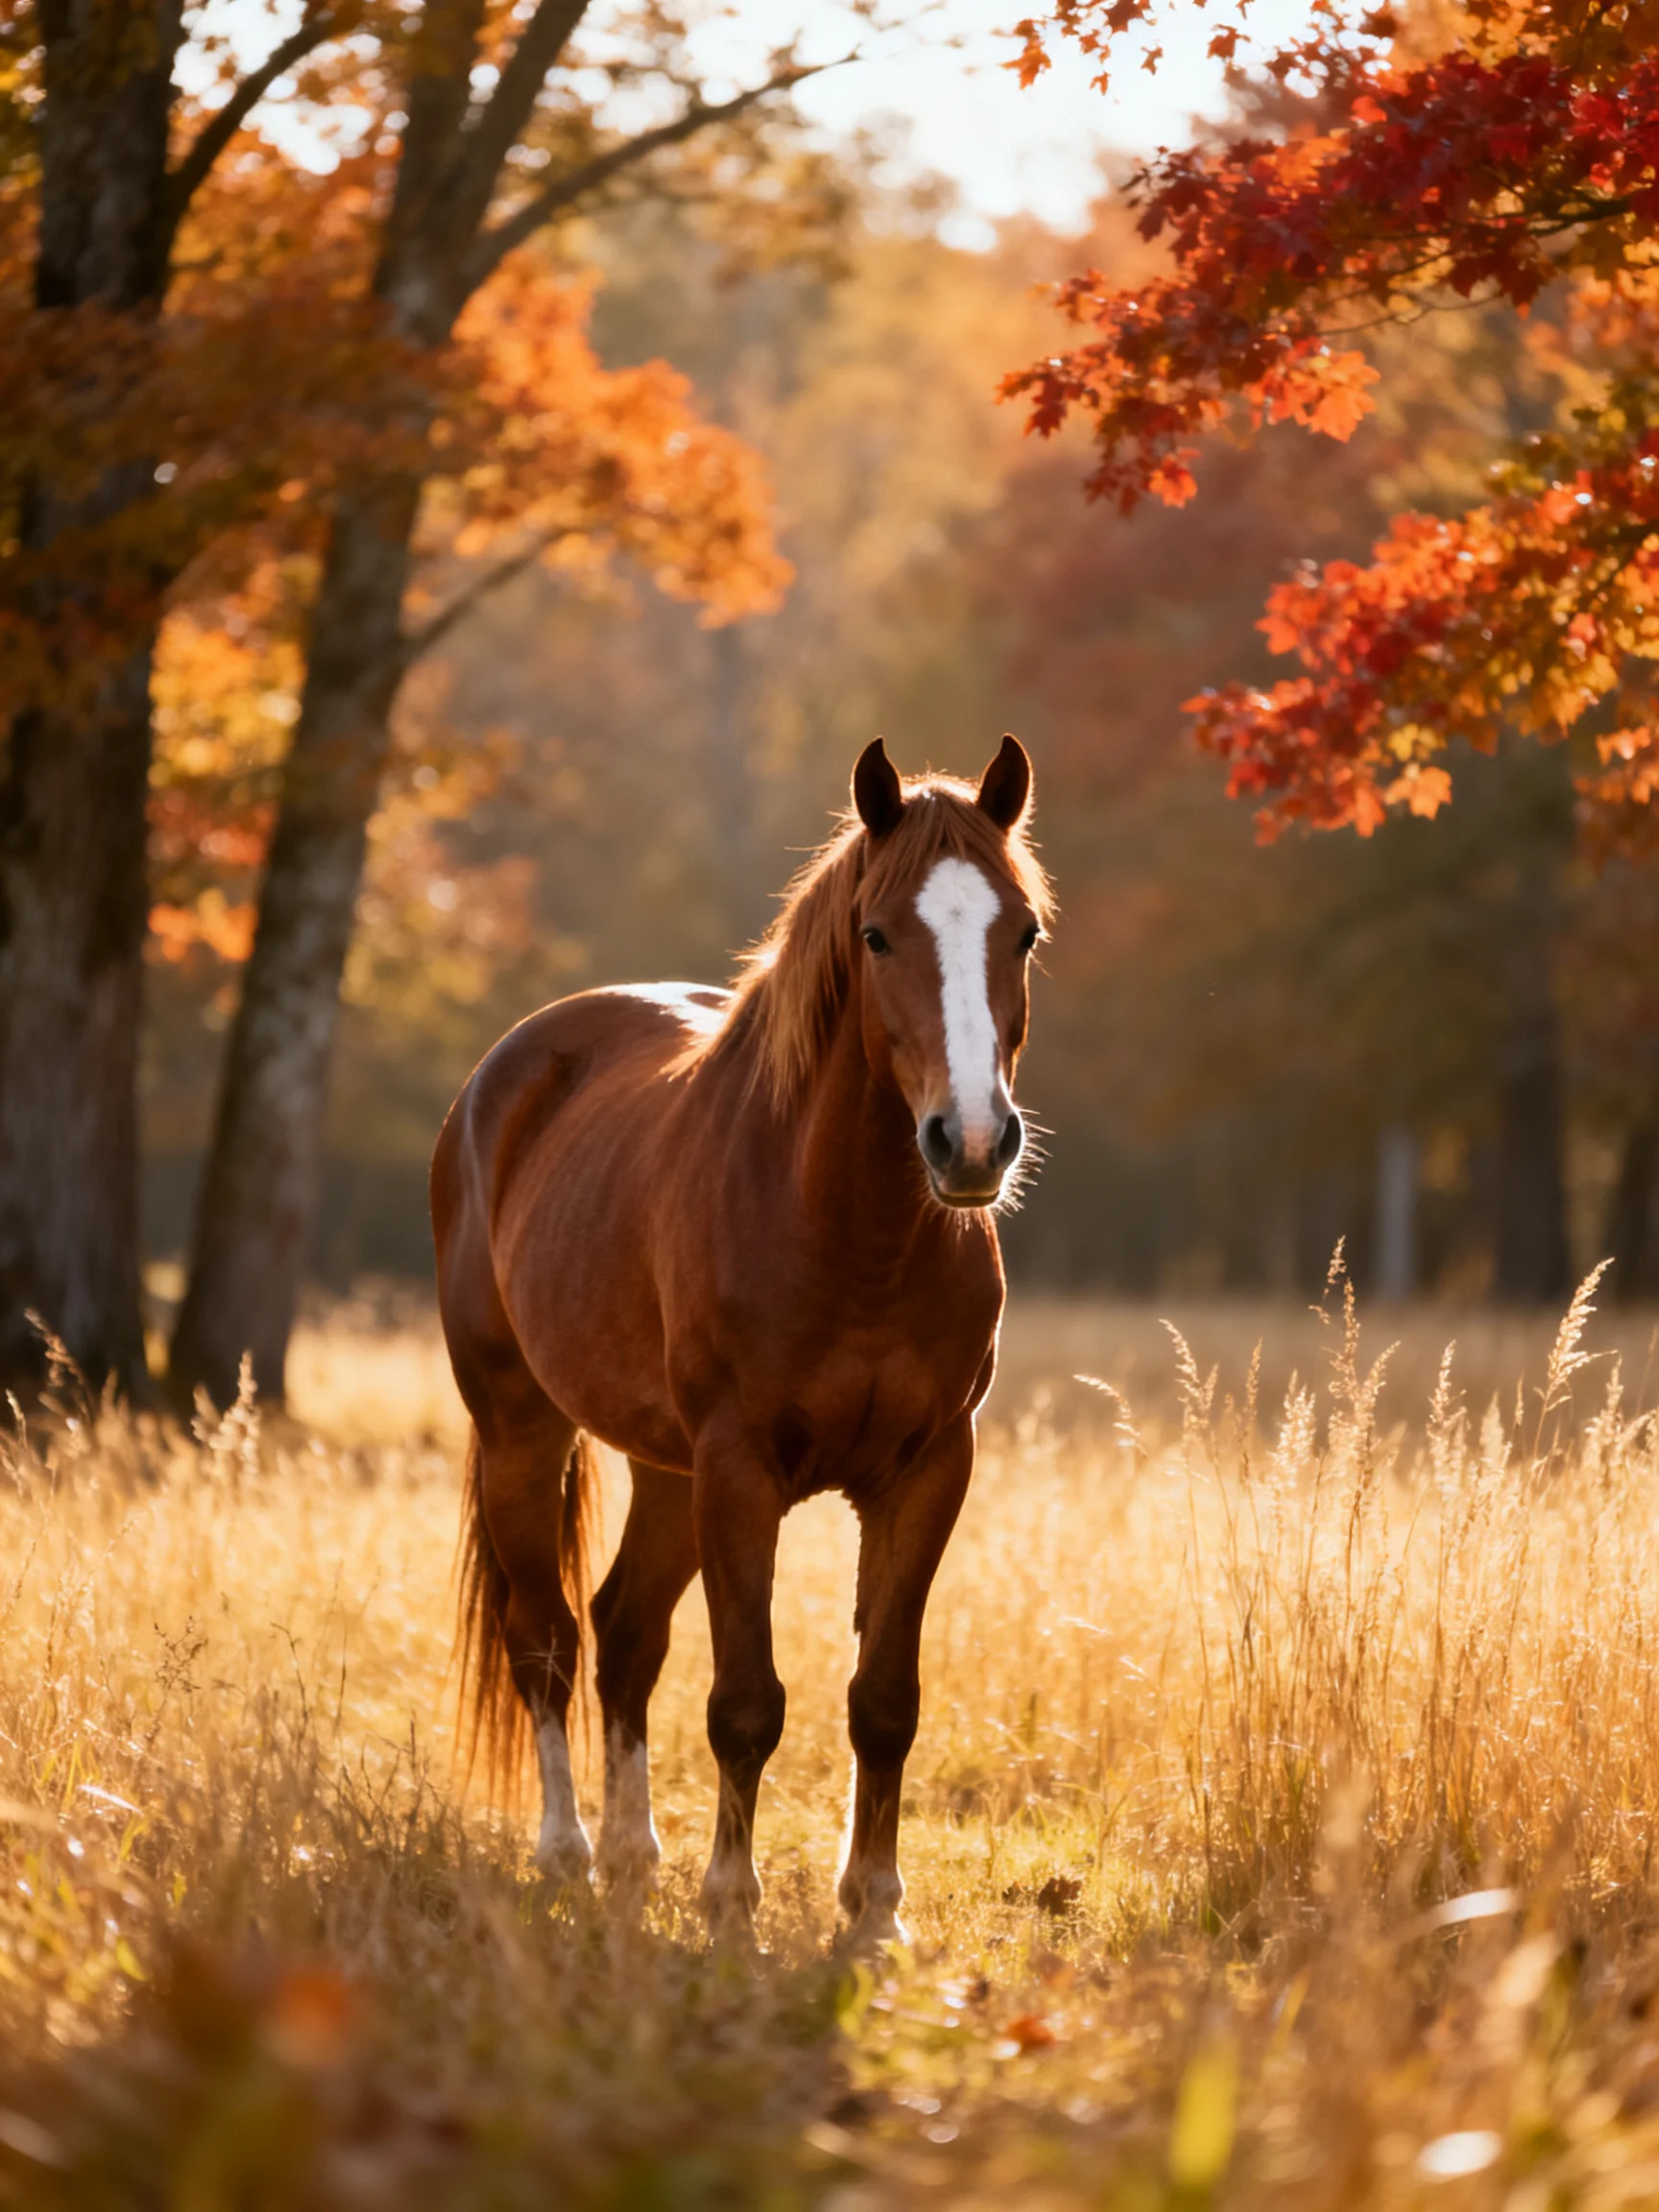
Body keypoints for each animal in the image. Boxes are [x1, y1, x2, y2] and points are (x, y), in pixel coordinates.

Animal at [430, 734, 1051, 1943]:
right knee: (549, 1641)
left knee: (625, 1634)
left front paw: (874, 1914)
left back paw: (633, 1854)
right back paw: (569, 1854)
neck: (851, 1236)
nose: (970, 1143)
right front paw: (732, 1907)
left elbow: (884, 1701)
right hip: (525, 1430)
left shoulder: (927, 1471)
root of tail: (505, 1073)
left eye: (1024, 932)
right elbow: (746, 1703)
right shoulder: (740, 1469)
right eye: (877, 933)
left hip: (666, 1471)